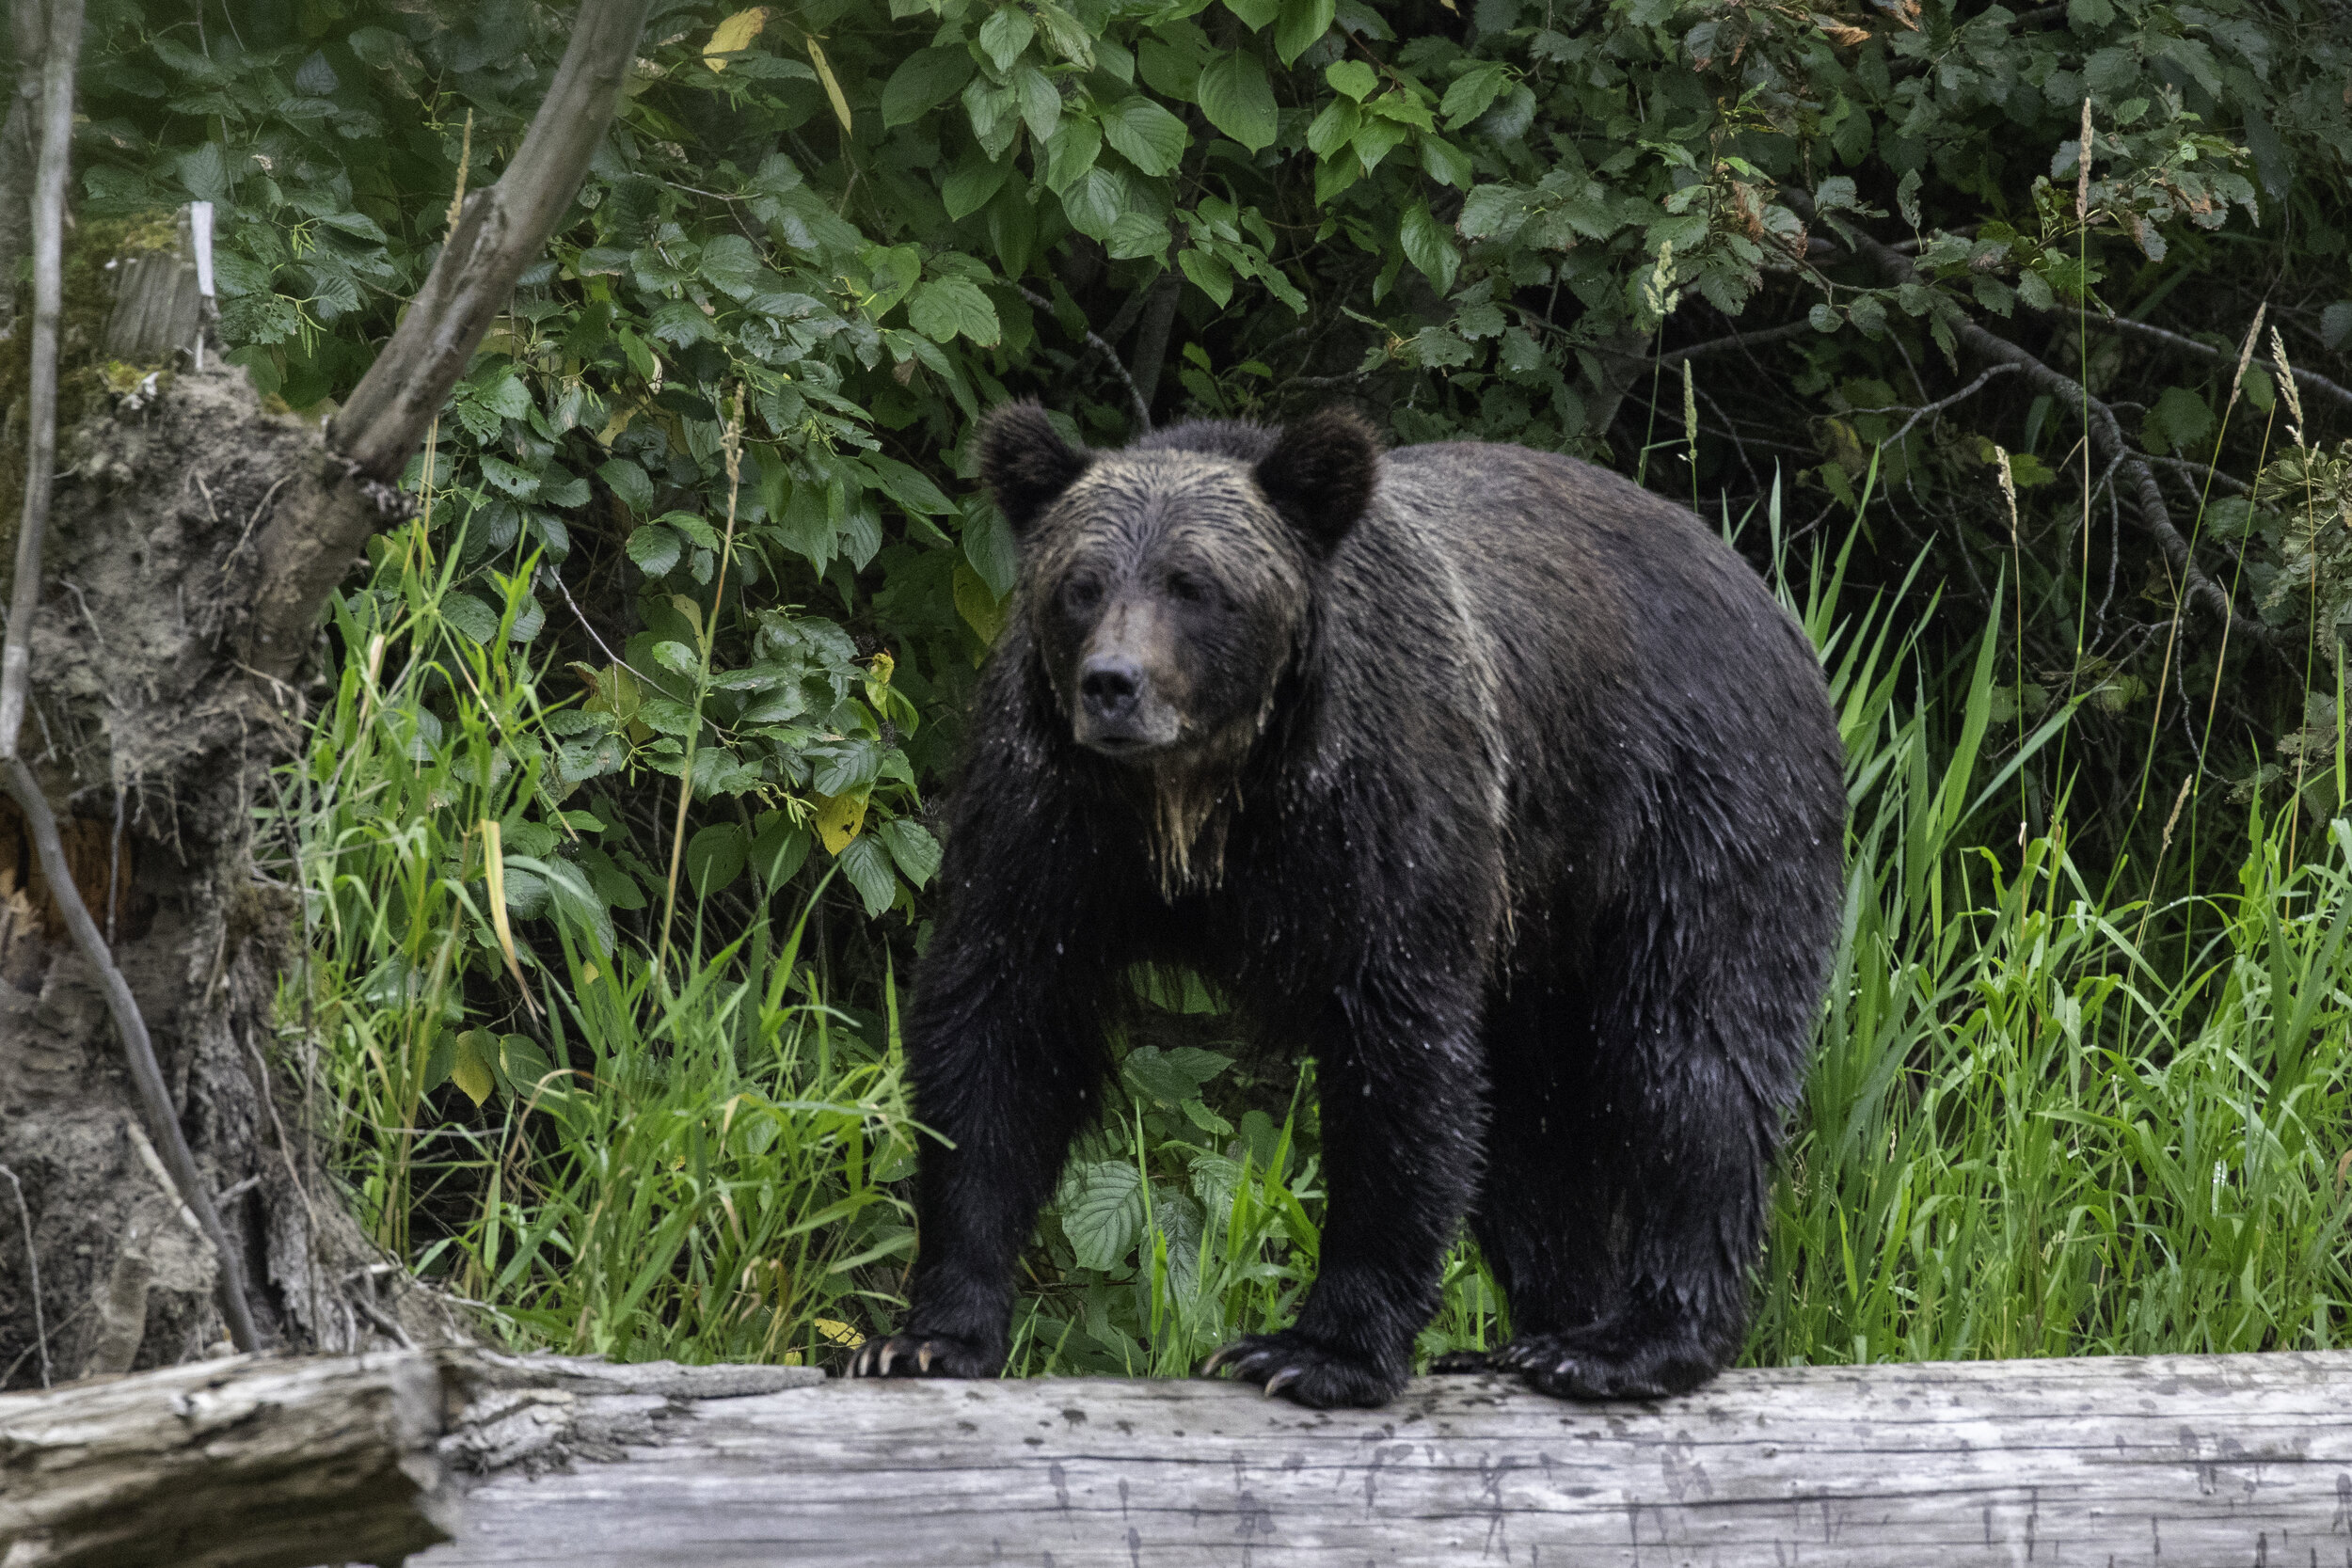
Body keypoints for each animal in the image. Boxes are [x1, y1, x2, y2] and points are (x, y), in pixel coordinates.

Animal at [845, 404, 1846, 1408]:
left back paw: (1629, 1341)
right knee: (1531, 1123)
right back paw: (1538, 1331)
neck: (1199, 800)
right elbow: (998, 1030)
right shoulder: (1049, 824)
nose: (1113, 684)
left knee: (1689, 1057)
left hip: (1691, 808)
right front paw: (927, 1334)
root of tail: (1761, 589)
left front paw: (1317, 1349)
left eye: (1194, 585)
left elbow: (1398, 1061)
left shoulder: (1381, 813)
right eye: (1079, 585)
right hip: (1540, 923)